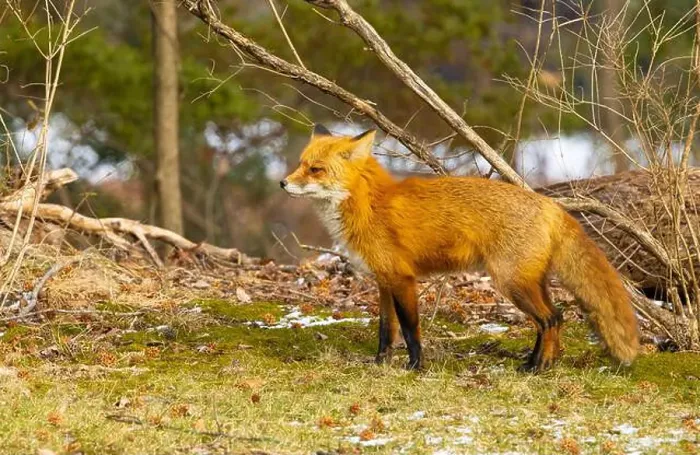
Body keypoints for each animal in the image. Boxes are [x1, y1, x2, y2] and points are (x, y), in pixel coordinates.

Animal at [280, 124, 640, 372]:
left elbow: (410, 330)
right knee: (555, 317)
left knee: (550, 319)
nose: (282, 183)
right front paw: (380, 364)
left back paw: (539, 368)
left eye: (316, 169)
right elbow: (386, 330)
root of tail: (551, 204)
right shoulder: (383, 280)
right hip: (530, 282)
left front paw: (415, 367)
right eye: (300, 164)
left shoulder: (402, 279)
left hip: (511, 283)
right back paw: (534, 363)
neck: (369, 205)